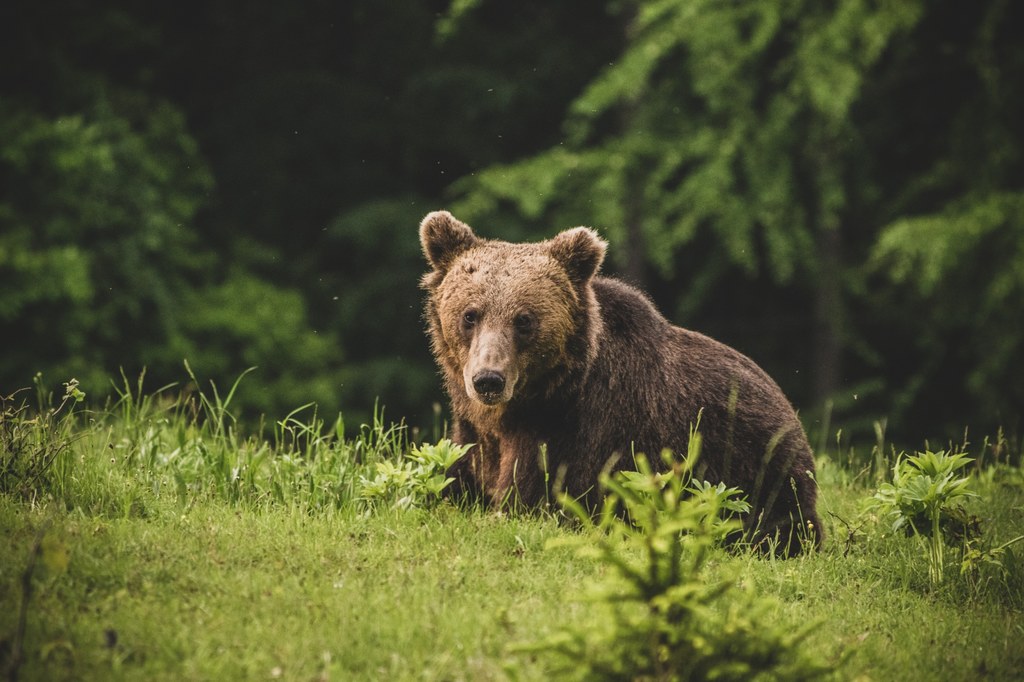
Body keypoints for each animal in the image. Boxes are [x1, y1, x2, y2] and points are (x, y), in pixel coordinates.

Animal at [417, 208, 823, 552]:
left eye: (524, 320)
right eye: (470, 314)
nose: (488, 379)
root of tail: (790, 412)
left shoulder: (581, 433)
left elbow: (534, 499)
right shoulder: (473, 431)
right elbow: (453, 477)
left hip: (756, 470)